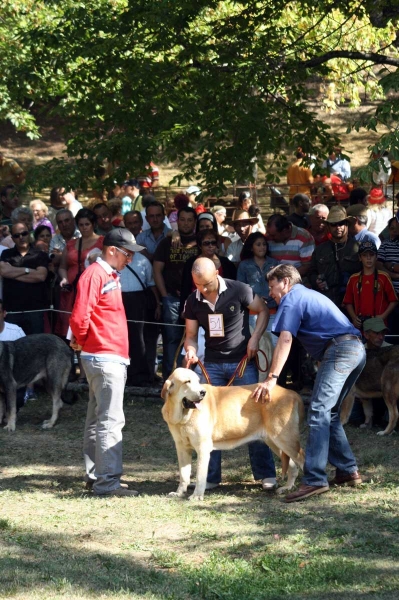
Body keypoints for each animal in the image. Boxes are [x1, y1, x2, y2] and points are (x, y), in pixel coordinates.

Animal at [161, 368, 304, 500]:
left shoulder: (203, 448)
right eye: (187, 382)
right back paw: (287, 487)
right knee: (292, 465)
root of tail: (292, 393)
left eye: (197, 381)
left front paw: (197, 496)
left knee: (302, 459)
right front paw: (179, 493)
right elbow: (184, 474)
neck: (183, 418)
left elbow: (200, 476)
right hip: (275, 442)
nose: (203, 392)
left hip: (285, 440)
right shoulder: (182, 448)